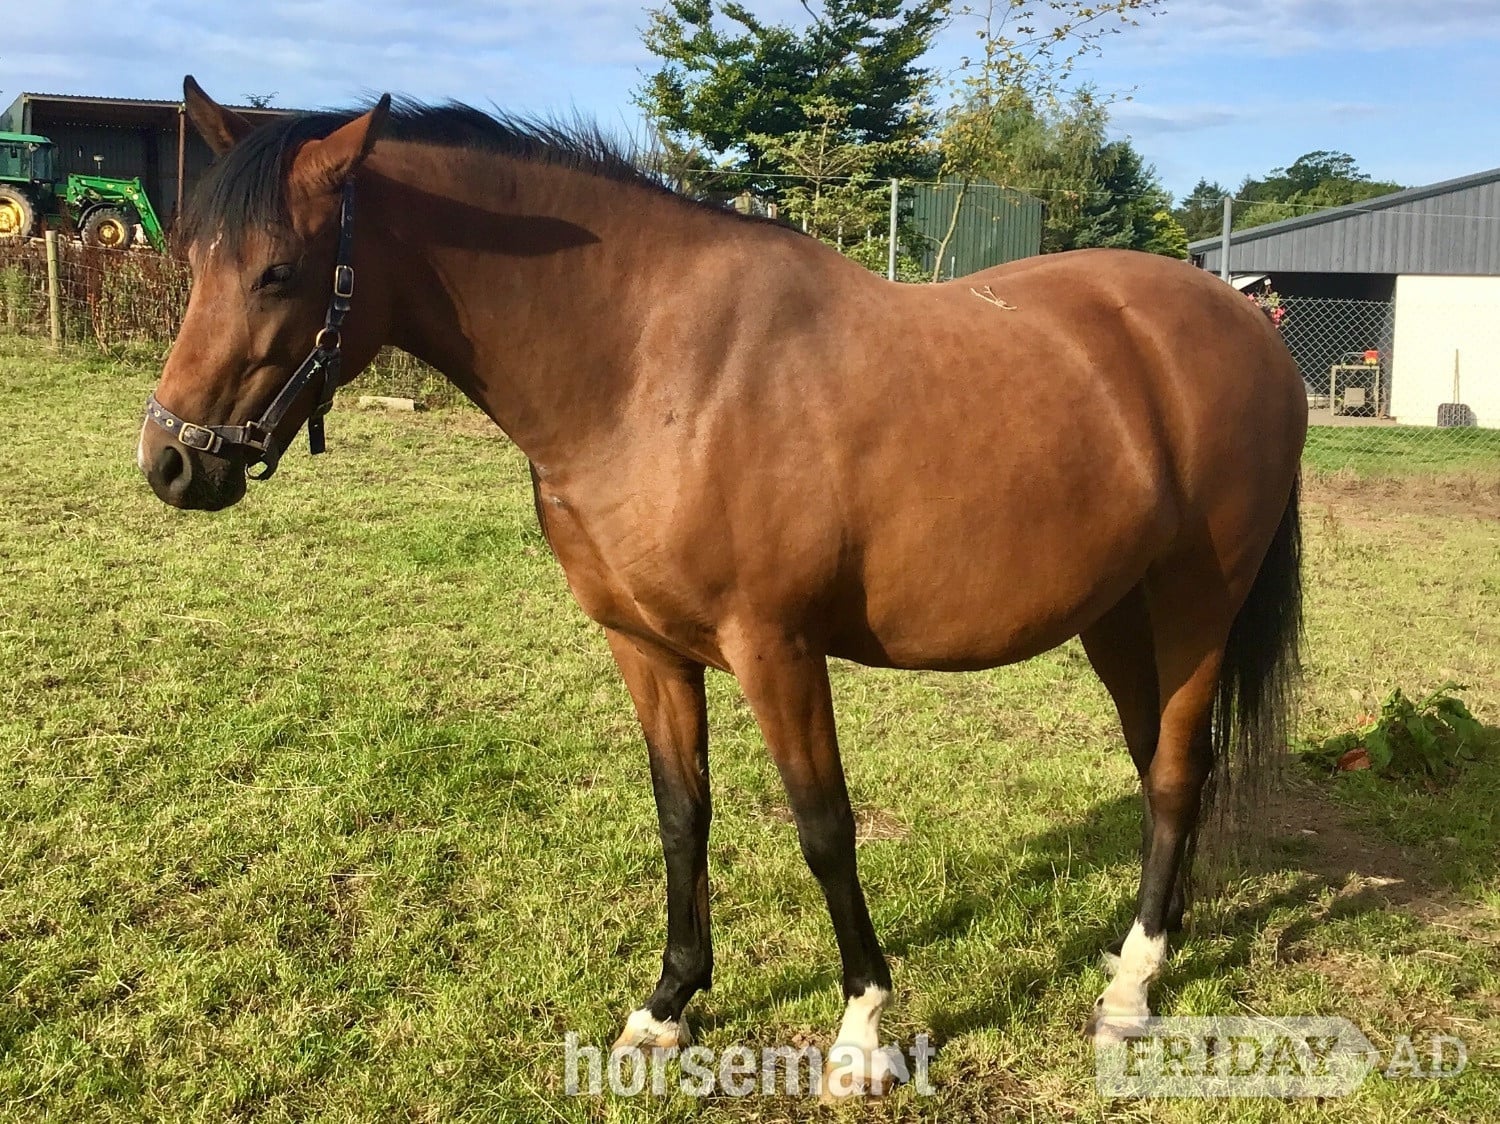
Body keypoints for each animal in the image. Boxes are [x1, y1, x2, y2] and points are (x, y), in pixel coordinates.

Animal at [138, 77, 1305, 1097]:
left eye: (279, 271)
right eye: (190, 256)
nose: (173, 463)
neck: (651, 368)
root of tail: (1242, 323)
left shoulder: (776, 647)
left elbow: (824, 828)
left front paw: (861, 1035)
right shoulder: (646, 646)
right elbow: (681, 815)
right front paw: (668, 1005)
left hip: (1195, 605)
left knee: (1174, 775)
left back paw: (1131, 991)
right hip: (1118, 617)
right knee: (1162, 761)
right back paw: (1152, 944)